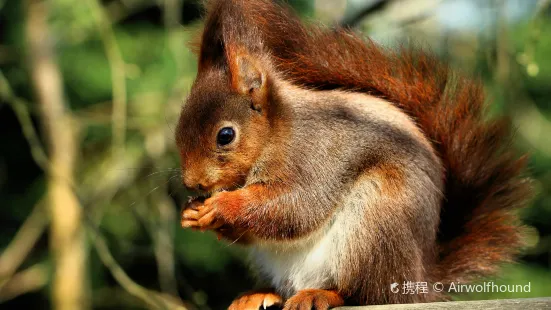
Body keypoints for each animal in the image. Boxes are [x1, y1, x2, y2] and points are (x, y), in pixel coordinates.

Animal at [175, 1, 532, 308]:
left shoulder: (318, 156)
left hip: (376, 225)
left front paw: (222, 205)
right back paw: (259, 294)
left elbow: (295, 208)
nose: (193, 184)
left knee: (365, 293)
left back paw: (322, 295)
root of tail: (419, 281)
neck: (276, 135)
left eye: (225, 135)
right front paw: (191, 212)